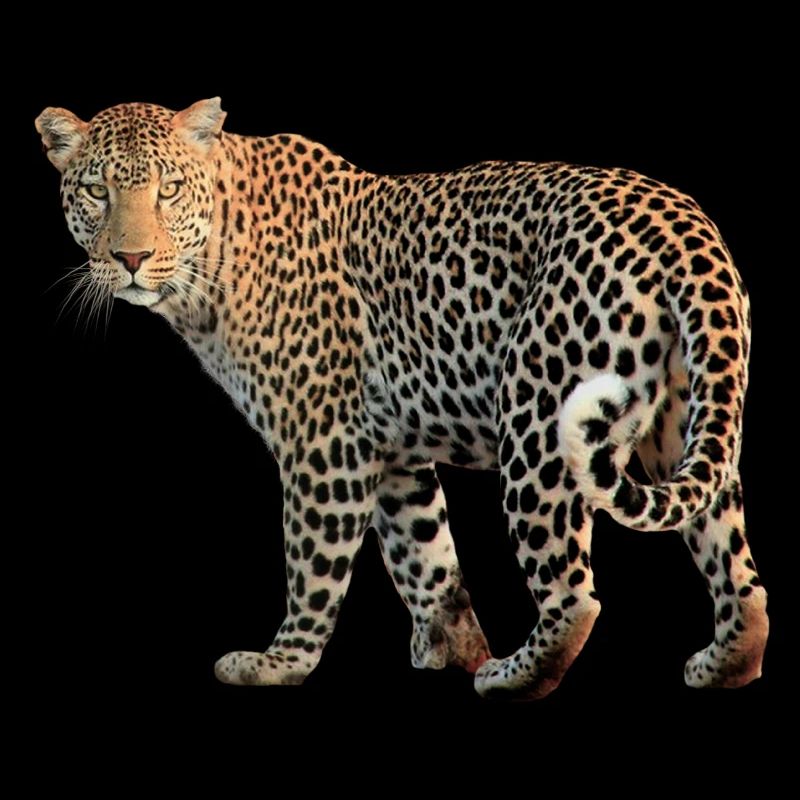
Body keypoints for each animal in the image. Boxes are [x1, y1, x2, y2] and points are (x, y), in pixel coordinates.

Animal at [36, 98, 769, 698]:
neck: (209, 267)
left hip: (538, 419)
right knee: (737, 568)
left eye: (166, 191)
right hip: (685, 420)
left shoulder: (324, 442)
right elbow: (427, 558)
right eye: (98, 192)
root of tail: (685, 227)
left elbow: (313, 562)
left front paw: (281, 663)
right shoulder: (392, 452)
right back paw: (724, 663)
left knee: (574, 593)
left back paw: (514, 676)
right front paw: (455, 648)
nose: (131, 259)